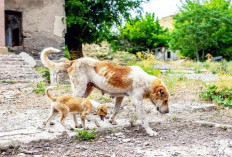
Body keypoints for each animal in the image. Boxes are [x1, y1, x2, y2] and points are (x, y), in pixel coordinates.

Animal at [40, 47, 169, 136]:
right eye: (166, 100)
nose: (168, 112)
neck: (146, 81)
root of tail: (73, 61)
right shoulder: (137, 102)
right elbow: (144, 119)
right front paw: (150, 131)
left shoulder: (120, 97)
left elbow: (116, 110)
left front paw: (112, 120)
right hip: (80, 89)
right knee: (73, 108)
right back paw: (76, 124)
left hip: (87, 90)